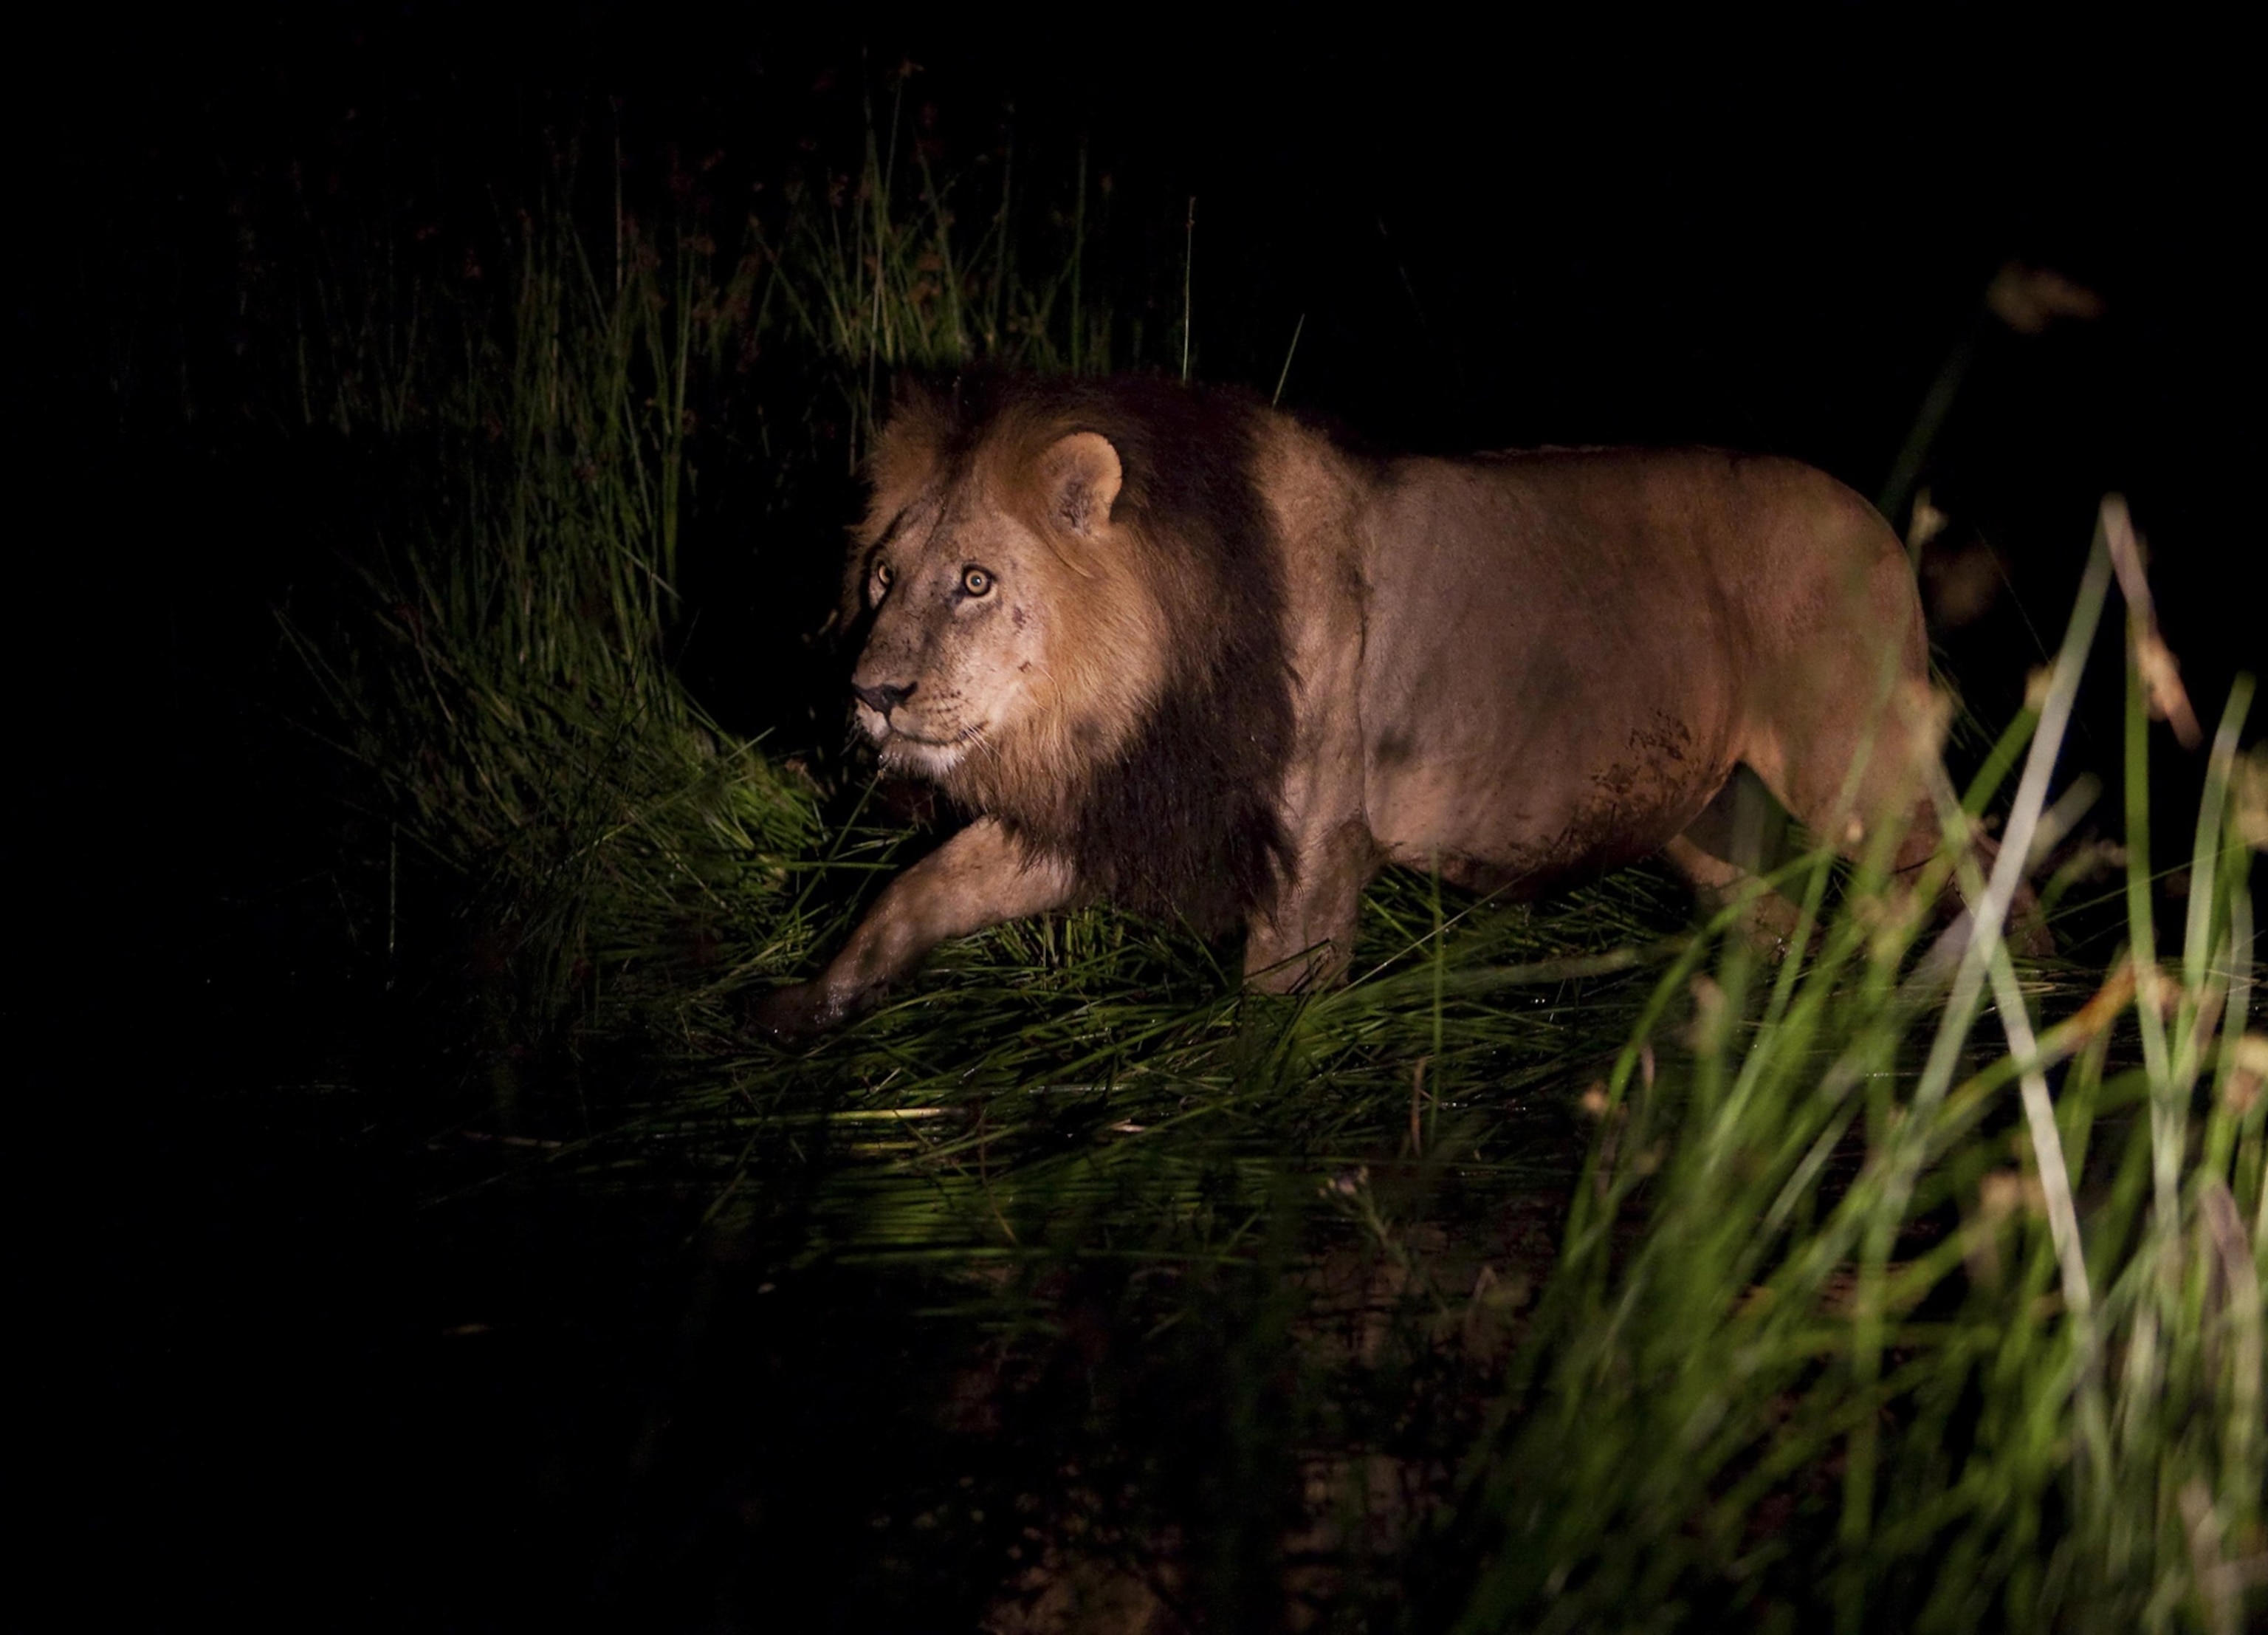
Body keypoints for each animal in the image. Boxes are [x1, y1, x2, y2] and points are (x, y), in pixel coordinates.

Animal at [754, 373, 2031, 1038]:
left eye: (977, 582)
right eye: (883, 579)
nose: (870, 693)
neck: (1127, 688)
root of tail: (1880, 522)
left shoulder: (1315, 839)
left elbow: (1275, 1008)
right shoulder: (1119, 802)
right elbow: (923, 889)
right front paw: (808, 1003)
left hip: (1852, 763)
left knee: (1969, 857)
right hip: (1714, 819)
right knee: (1779, 912)